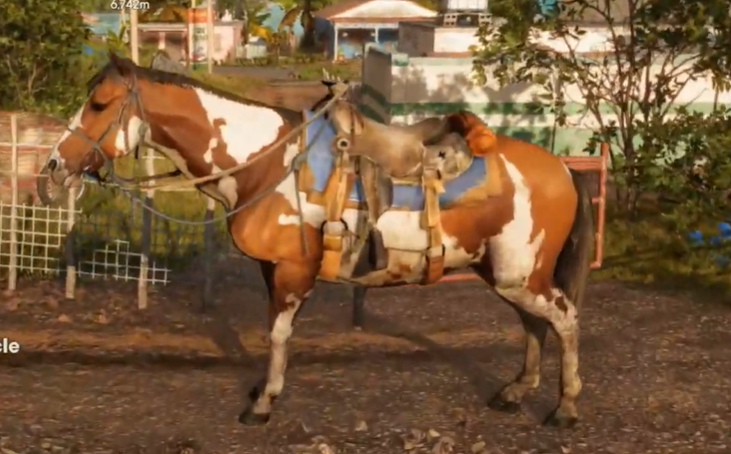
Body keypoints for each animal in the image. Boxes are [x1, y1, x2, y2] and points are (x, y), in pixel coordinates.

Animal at [38, 52, 594, 429]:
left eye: (99, 104)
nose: (53, 168)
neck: (268, 162)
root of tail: (564, 170)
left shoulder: (291, 273)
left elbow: (279, 334)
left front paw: (264, 403)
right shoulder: (274, 269)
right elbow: (274, 332)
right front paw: (263, 390)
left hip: (521, 276)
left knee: (564, 320)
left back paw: (566, 407)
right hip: (507, 274)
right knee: (534, 325)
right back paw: (516, 392)